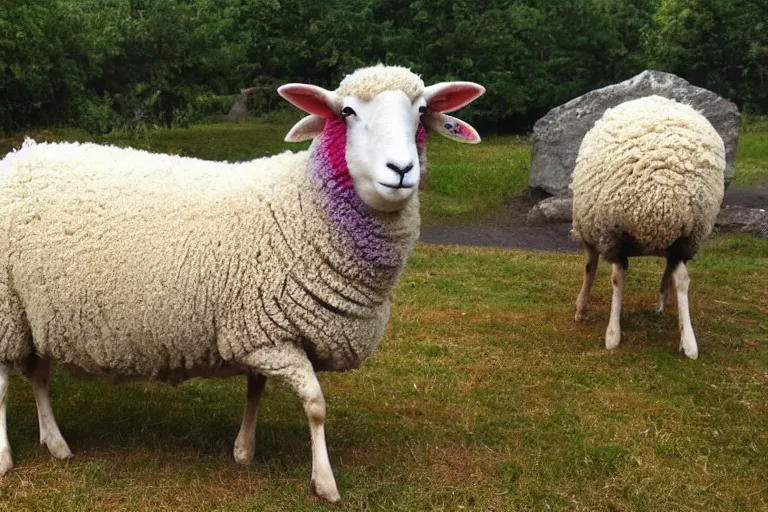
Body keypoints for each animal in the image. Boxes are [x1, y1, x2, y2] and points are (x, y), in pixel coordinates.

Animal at [0, 65, 484, 504]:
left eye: (421, 112)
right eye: (346, 112)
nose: (401, 169)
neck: (302, 209)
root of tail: (19, 155)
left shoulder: (261, 331)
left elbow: (256, 391)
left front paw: (244, 450)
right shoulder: (265, 337)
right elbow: (315, 405)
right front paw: (325, 482)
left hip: (30, 314)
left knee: (38, 376)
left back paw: (56, 444)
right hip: (6, 310)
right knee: (5, 385)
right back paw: (6, 458)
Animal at [568, 96, 728, 360]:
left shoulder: (684, 241)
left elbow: (682, 280)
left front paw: (688, 340)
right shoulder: (614, 236)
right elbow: (616, 279)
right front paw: (613, 334)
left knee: (668, 269)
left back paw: (663, 301)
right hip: (590, 228)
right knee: (590, 265)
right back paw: (581, 307)